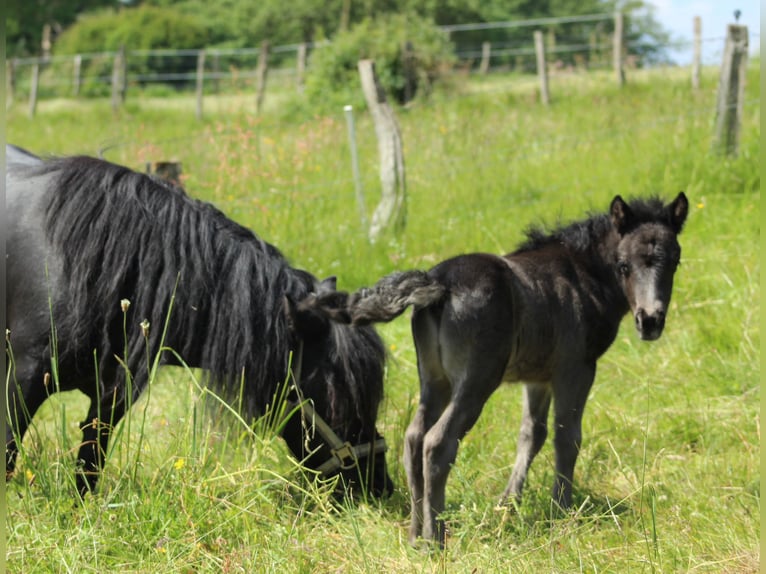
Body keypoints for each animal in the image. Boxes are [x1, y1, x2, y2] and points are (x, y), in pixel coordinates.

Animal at [314, 191, 688, 548]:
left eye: (675, 262)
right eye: (623, 265)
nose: (650, 320)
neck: (582, 275)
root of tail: (438, 282)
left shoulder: (538, 378)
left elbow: (531, 434)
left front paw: (508, 503)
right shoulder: (576, 368)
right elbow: (567, 436)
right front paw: (562, 509)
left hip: (434, 379)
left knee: (414, 438)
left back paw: (415, 535)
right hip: (478, 379)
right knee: (438, 442)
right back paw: (435, 539)